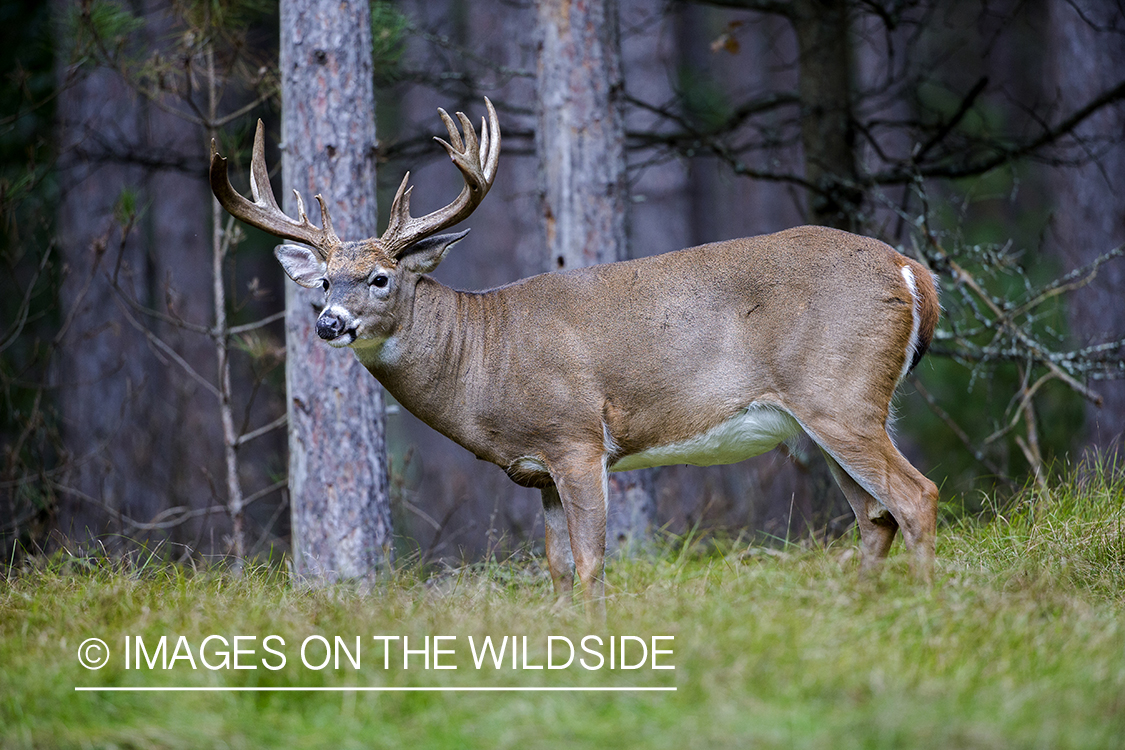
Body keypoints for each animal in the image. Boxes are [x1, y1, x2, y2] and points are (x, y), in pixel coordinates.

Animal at [209, 98, 940, 616]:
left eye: (381, 278)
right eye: (324, 282)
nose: (329, 323)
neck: (483, 355)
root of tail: (912, 273)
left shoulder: (578, 439)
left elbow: (591, 564)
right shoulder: (537, 471)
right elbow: (557, 570)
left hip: (838, 393)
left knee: (915, 495)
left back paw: (927, 609)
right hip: (826, 414)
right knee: (873, 515)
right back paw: (860, 607)